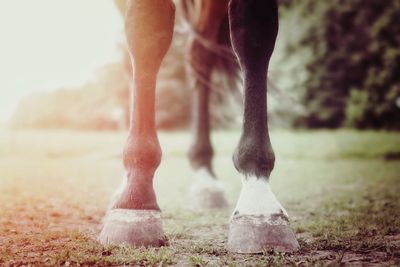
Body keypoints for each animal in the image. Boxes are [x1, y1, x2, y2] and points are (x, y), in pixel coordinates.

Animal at [99, 0, 300, 254]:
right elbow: (145, 31)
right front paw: (135, 201)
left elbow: (255, 35)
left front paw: (258, 203)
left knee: (199, 55)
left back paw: (206, 179)